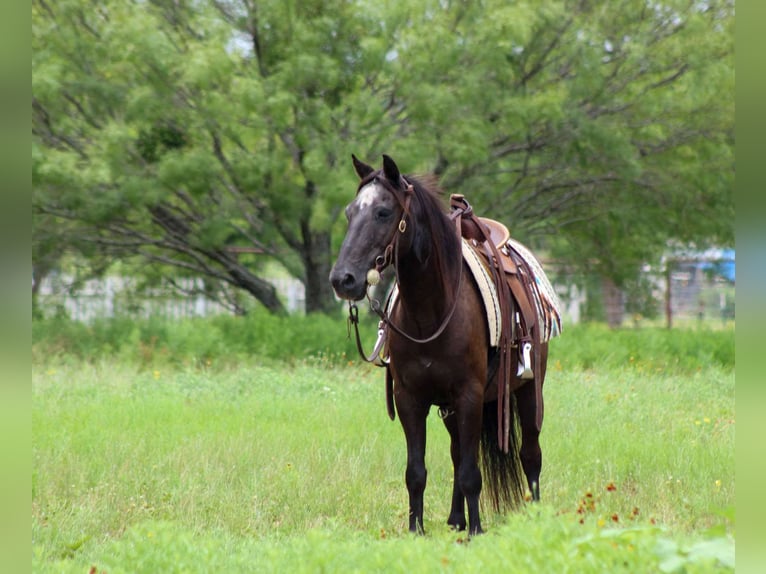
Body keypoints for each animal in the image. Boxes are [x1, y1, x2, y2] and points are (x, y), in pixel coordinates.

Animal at [329, 154, 551, 535]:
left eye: (383, 212)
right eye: (349, 212)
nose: (343, 279)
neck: (430, 315)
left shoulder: (469, 395)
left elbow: (471, 472)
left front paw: (477, 531)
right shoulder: (410, 399)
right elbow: (417, 472)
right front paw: (416, 530)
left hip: (528, 391)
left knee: (529, 455)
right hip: (450, 408)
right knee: (457, 453)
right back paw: (455, 520)